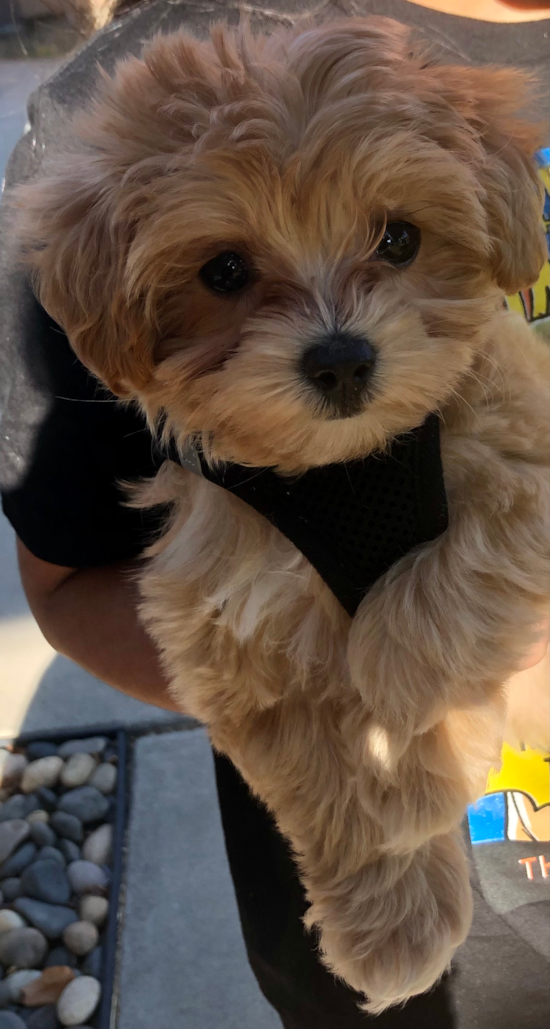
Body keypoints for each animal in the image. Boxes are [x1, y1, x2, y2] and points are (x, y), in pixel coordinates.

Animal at [17, 16, 550, 1012]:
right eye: (223, 269)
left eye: (400, 238)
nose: (341, 359)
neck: (342, 469)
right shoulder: (228, 621)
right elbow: (326, 772)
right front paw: (395, 918)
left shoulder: (527, 447)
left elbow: (458, 571)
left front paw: (399, 684)